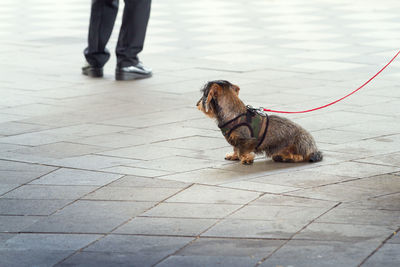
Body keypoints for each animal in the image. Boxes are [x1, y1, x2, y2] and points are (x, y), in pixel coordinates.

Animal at [195, 79, 324, 165]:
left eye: (204, 94)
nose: (197, 104)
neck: (234, 114)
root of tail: (314, 147)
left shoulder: (247, 140)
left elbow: (242, 150)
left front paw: (246, 158)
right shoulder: (236, 140)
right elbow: (236, 148)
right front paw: (233, 156)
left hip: (298, 144)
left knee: (301, 157)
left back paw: (287, 157)